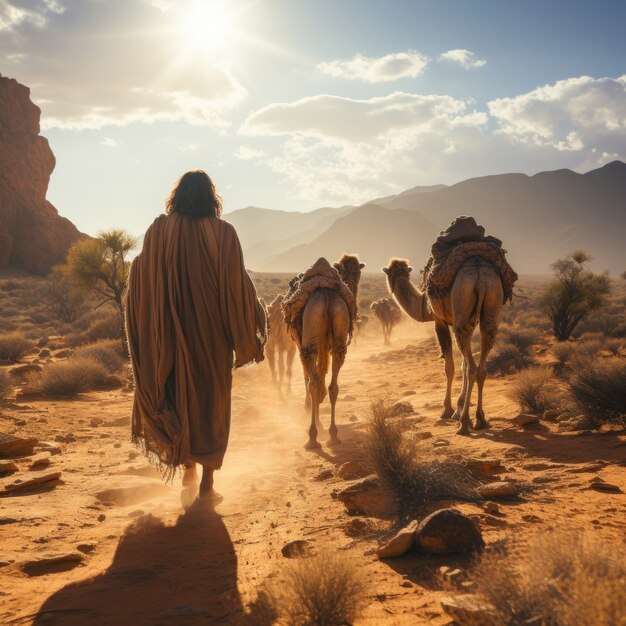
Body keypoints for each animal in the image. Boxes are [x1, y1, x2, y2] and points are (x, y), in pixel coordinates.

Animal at [296, 254, 364, 448]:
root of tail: (326, 296)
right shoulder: (326, 346)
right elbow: (322, 374)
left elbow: (311, 377)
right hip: (339, 338)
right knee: (332, 386)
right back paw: (333, 435)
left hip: (310, 344)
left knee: (314, 383)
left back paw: (312, 436)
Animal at [382, 255, 500, 434]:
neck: (423, 305)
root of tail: (480, 277)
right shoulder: (471, 322)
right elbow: (463, 366)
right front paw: (458, 408)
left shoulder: (439, 320)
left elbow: (449, 367)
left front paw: (448, 410)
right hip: (489, 307)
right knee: (480, 368)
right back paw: (480, 420)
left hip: (462, 301)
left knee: (472, 369)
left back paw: (464, 424)